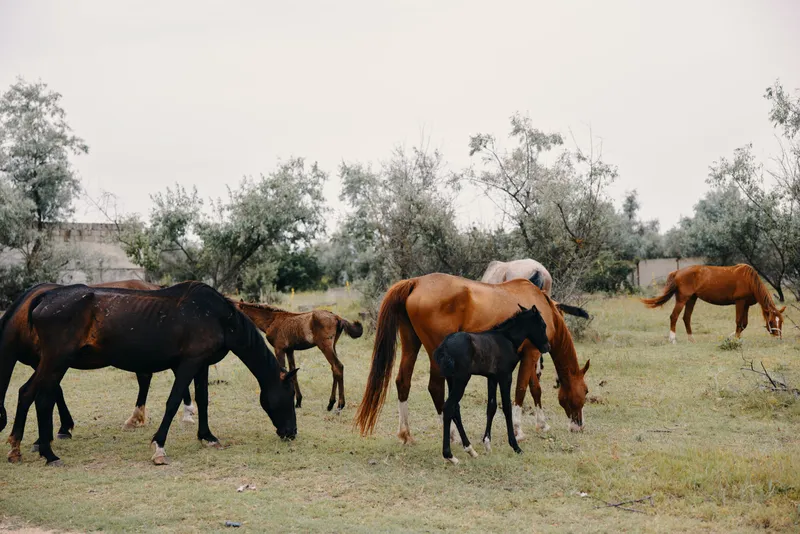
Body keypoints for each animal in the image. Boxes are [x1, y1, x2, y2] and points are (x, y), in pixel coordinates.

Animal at [7, 281, 297, 466]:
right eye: (289, 396)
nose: (292, 432)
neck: (217, 317)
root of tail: (45, 299)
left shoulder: (201, 365)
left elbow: (203, 400)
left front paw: (207, 436)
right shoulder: (189, 364)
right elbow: (173, 401)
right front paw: (159, 447)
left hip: (53, 364)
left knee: (30, 394)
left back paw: (21, 449)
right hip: (55, 362)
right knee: (38, 397)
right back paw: (46, 453)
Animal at [235, 300, 363, 412]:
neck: (272, 320)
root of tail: (337, 317)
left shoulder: (279, 349)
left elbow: (282, 372)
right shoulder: (290, 350)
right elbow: (293, 373)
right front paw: (298, 402)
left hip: (325, 346)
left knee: (338, 367)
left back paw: (339, 405)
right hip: (333, 346)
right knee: (334, 368)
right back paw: (331, 404)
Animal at [353, 273, 590, 444]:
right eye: (586, 391)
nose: (579, 425)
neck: (540, 304)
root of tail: (416, 282)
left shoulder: (528, 355)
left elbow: (535, 389)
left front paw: (542, 424)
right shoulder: (532, 354)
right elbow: (521, 390)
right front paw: (518, 430)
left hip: (411, 344)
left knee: (403, 382)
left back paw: (406, 434)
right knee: (435, 388)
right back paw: (453, 436)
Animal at [434, 304, 551, 465]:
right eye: (542, 325)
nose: (547, 347)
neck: (507, 339)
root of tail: (444, 347)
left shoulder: (492, 378)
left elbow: (492, 406)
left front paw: (487, 444)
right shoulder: (505, 377)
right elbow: (507, 407)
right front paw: (515, 446)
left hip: (451, 380)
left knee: (455, 409)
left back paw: (470, 449)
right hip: (461, 380)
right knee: (448, 407)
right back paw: (450, 456)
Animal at [641, 264, 785, 343]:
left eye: (781, 322)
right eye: (771, 321)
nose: (778, 338)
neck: (750, 280)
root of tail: (677, 272)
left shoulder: (746, 305)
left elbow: (744, 324)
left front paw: (734, 337)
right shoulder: (740, 302)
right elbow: (739, 322)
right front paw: (734, 339)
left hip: (692, 299)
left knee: (686, 318)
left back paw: (691, 340)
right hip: (682, 299)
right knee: (674, 316)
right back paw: (672, 339)